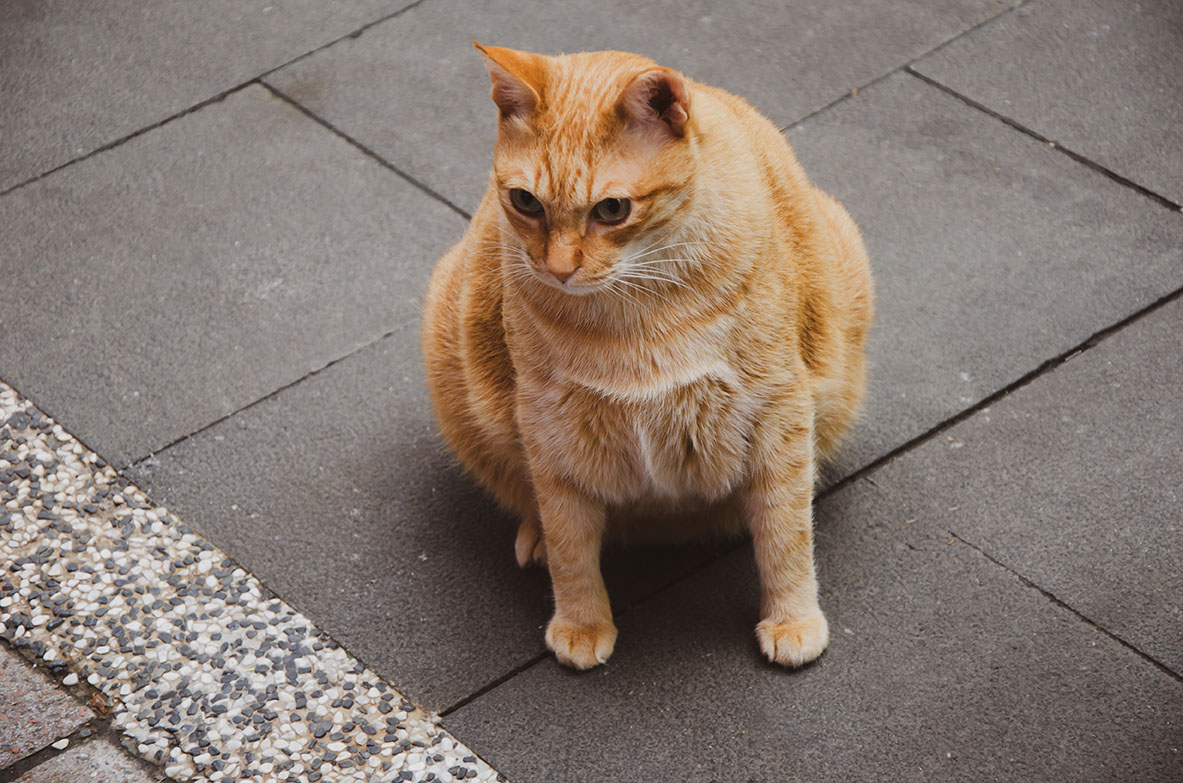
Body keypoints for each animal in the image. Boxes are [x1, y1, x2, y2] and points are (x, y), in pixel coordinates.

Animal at [421, 42, 875, 671]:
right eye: (525, 202)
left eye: (612, 209)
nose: (558, 270)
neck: (636, 309)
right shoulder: (548, 425)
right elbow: (569, 540)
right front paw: (582, 620)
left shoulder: (779, 413)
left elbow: (786, 534)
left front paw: (792, 617)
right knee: (535, 503)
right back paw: (536, 537)